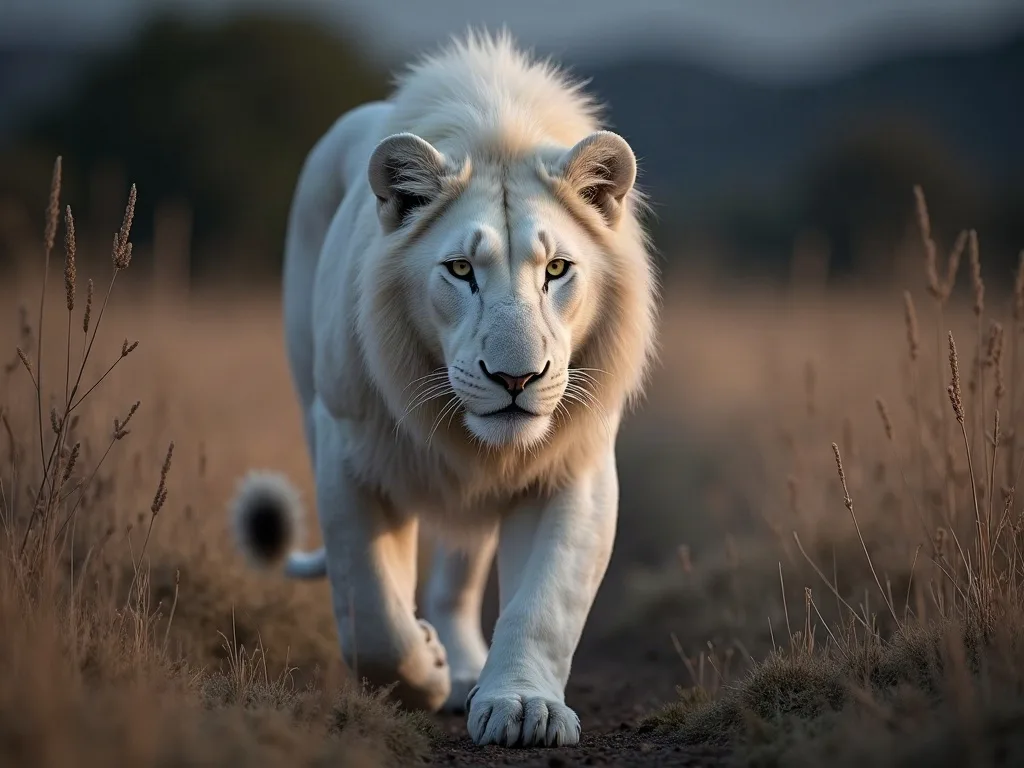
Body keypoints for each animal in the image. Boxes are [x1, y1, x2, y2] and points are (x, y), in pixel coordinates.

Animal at [229, 29, 658, 748]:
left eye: (558, 269)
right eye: (460, 270)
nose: (515, 377)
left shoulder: (576, 464)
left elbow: (545, 602)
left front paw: (522, 705)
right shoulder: (350, 451)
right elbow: (372, 616)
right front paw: (422, 670)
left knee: (457, 580)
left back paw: (464, 670)